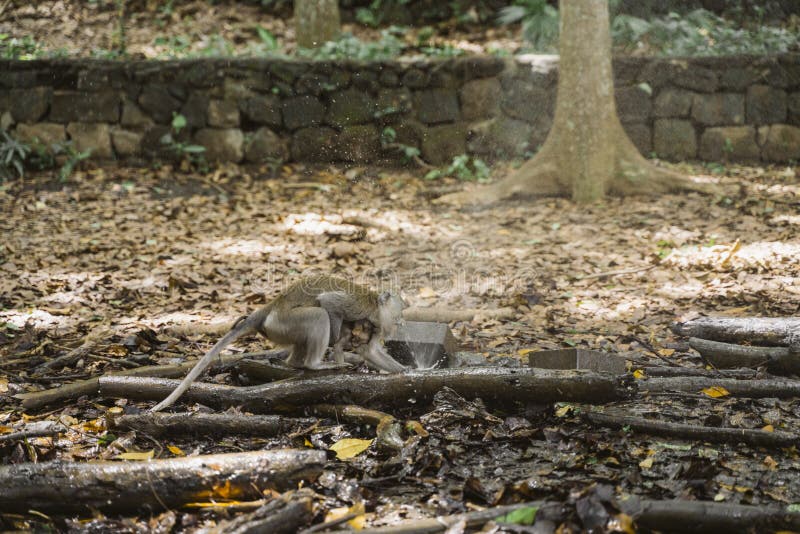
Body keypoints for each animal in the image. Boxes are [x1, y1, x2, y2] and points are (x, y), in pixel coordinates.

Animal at [151, 276, 406, 414]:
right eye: (398, 315)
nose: (399, 326)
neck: (375, 307)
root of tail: (272, 306)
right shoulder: (359, 307)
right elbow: (329, 302)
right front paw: (338, 340)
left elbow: (369, 350)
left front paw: (408, 371)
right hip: (283, 323)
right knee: (318, 315)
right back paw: (314, 364)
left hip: (282, 329)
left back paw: (296, 363)